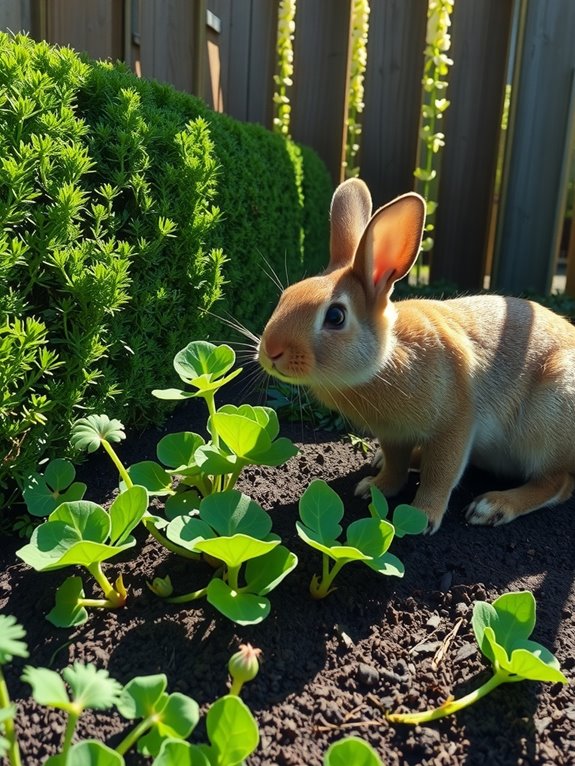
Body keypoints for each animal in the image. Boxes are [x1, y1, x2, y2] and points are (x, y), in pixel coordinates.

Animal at [257, 177, 575, 533]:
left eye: (336, 316)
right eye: (286, 295)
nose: (271, 350)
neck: (385, 361)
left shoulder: (456, 423)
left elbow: (441, 472)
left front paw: (423, 517)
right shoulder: (392, 433)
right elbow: (396, 464)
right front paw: (375, 487)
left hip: (550, 415)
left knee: (558, 482)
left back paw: (493, 505)